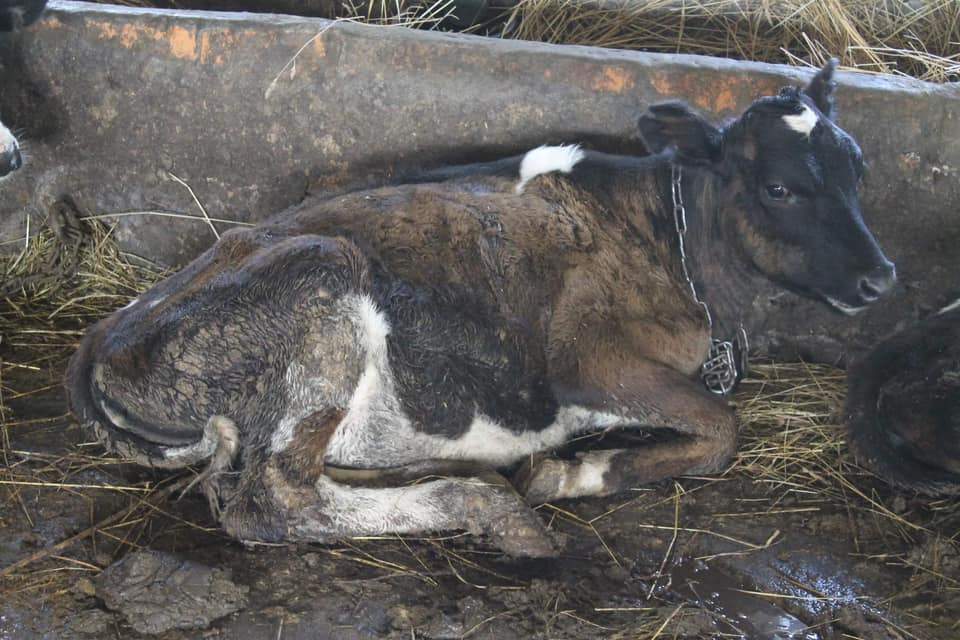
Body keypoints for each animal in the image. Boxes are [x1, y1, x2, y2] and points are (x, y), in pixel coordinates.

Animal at [65, 62, 892, 556]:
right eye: (781, 188)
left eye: (858, 169)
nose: (882, 278)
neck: (669, 234)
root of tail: (102, 337)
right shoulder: (592, 363)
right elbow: (724, 428)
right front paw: (573, 474)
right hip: (323, 297)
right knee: (274, 500)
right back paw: (490, 506)